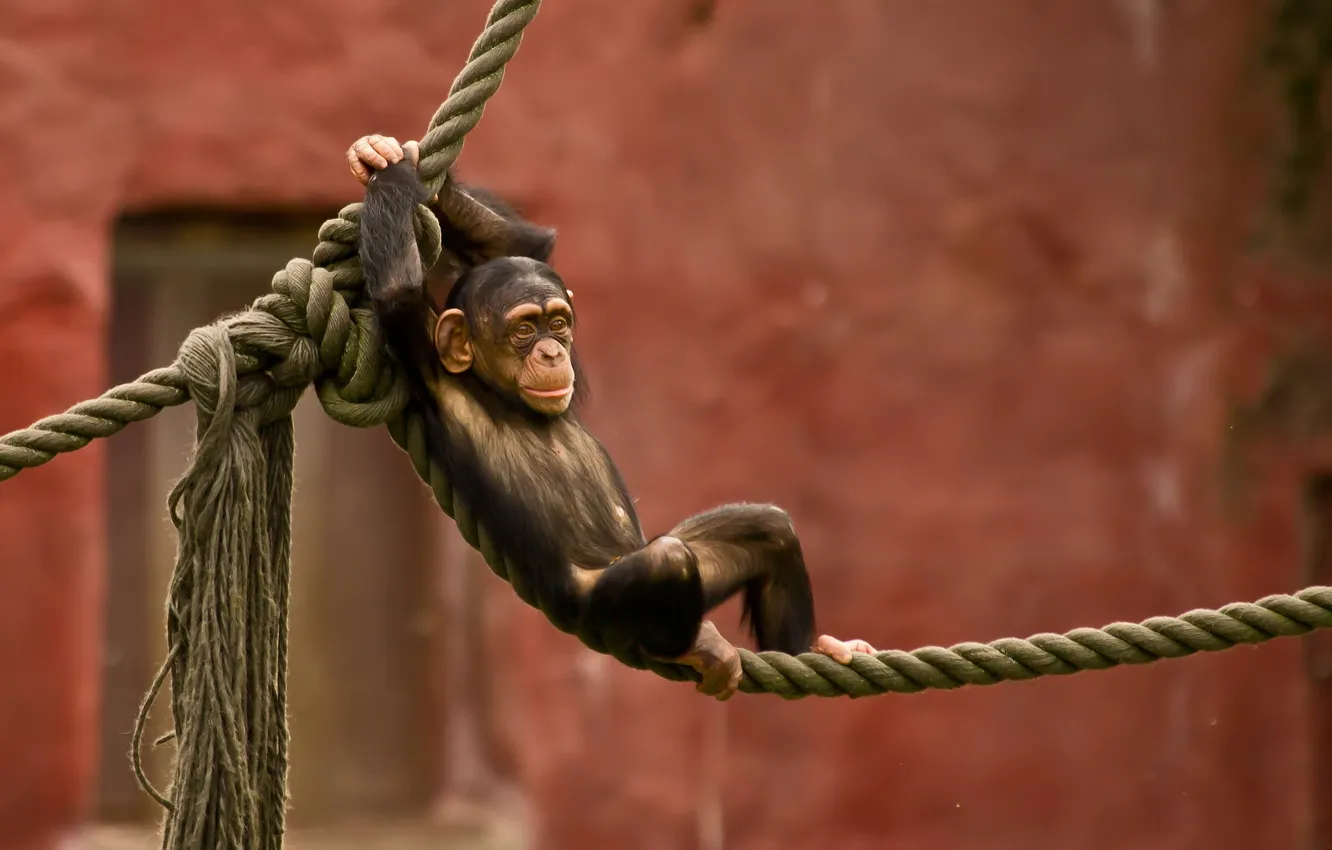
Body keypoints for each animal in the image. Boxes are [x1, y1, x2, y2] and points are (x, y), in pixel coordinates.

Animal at [348, 134, 876, 699]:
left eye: (558, 323)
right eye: (523, 330)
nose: (551, 352)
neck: (502, 396)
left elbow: (525, 248)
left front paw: (404, 166)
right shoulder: (426, 359)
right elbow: (397, 293)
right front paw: (386, 171)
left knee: (766, 528)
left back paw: (816, 648)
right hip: (601, 611)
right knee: (667, 563)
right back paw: (694, 646)